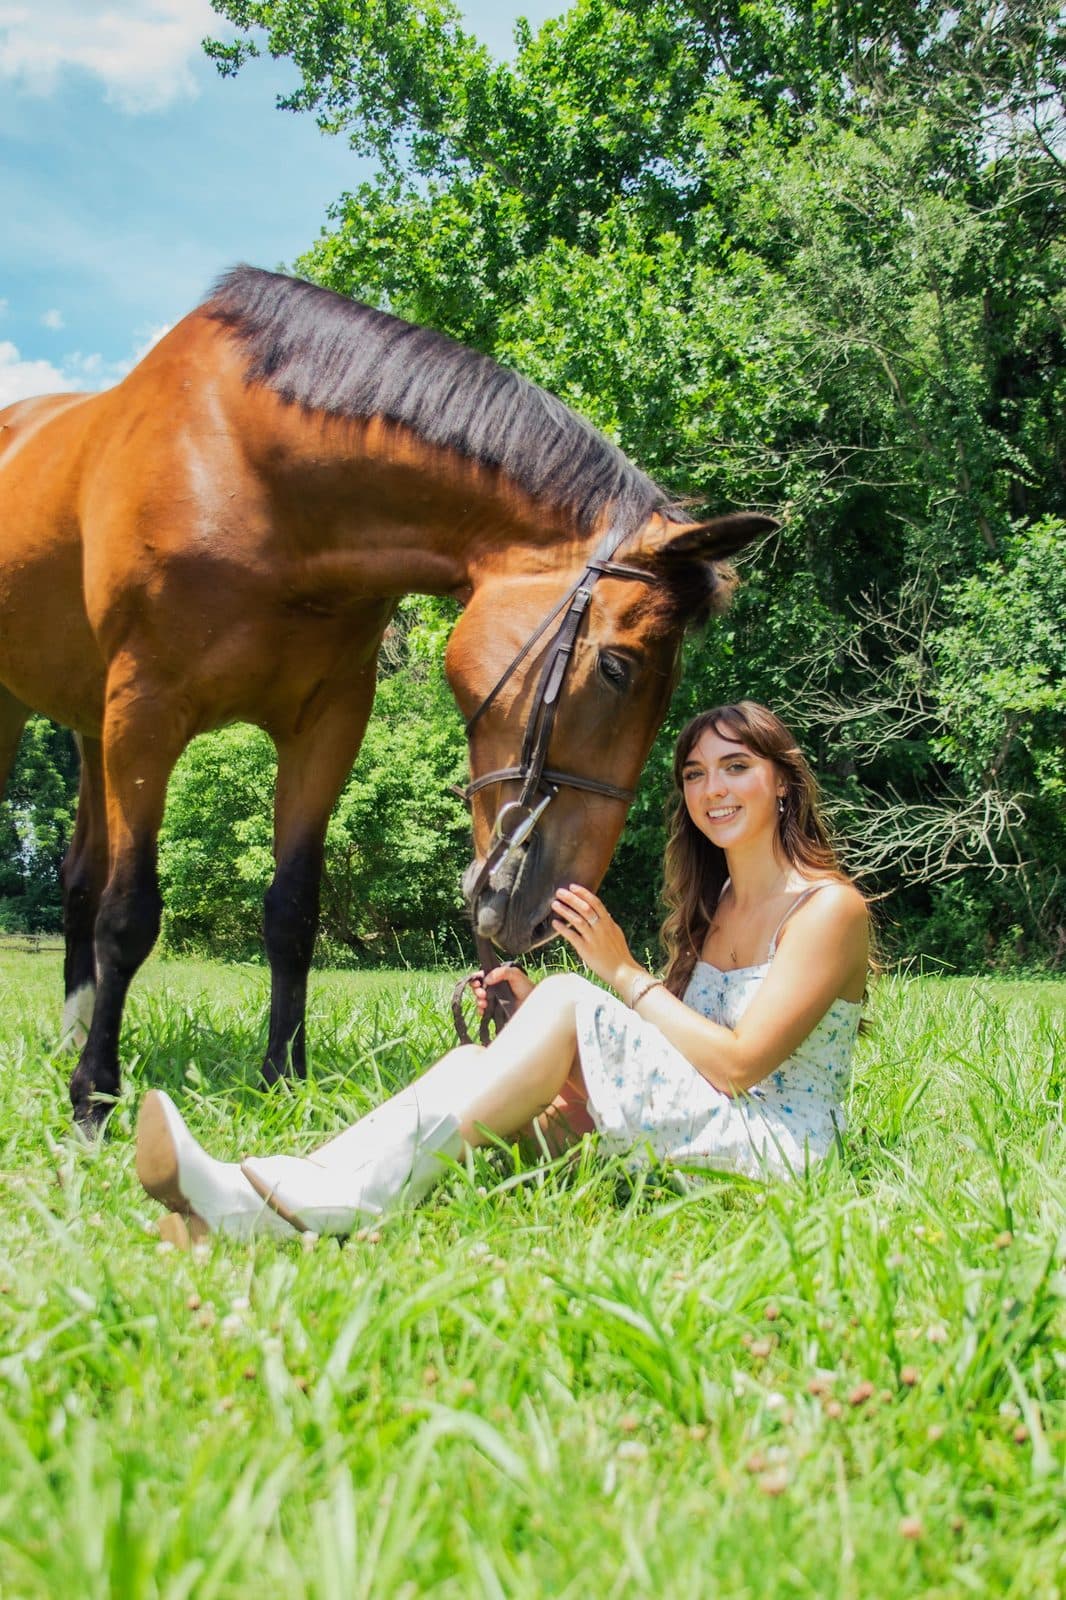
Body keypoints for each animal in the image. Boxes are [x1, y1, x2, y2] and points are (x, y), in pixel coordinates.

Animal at [0, 266, 774, 1126]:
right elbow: (130, 912)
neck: (253, 476)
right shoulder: (145, 714)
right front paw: (94, 1099)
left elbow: (292, 912)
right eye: (617, 668)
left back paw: (70, 1039)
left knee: (78, 879)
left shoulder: (326, 726)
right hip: (42, 718)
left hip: (86, 727)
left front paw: (283, 1080)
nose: (543, 911)